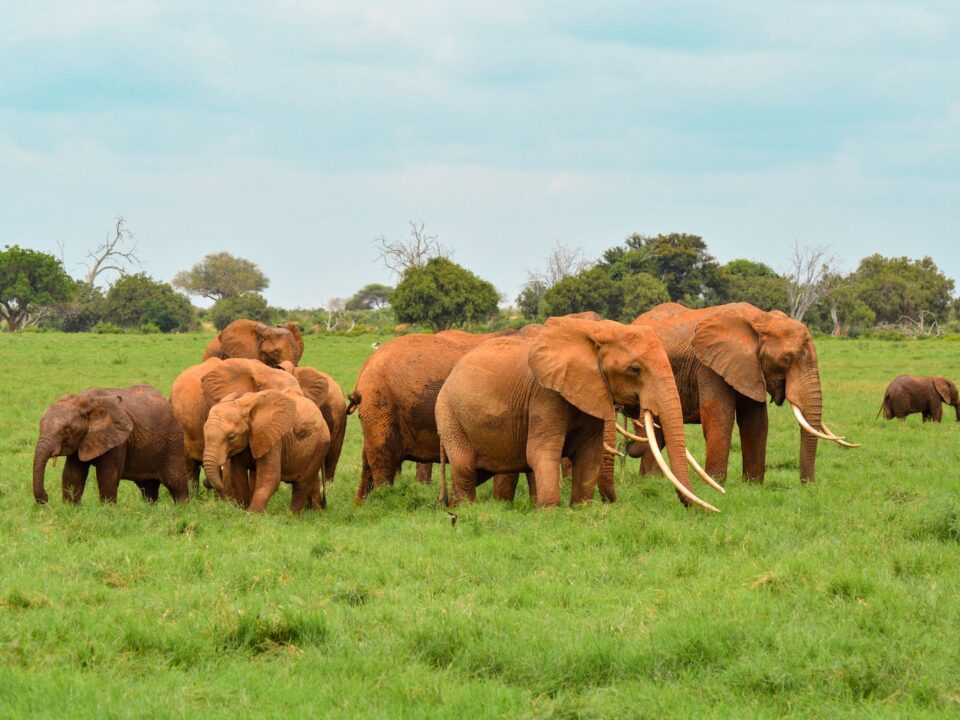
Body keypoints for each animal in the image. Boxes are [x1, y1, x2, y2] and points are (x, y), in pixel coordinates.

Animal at [33, 385, 191, 504]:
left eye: (66, 430)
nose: (46, 498)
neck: (83, 401)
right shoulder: (82, 440)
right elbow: (72, 475)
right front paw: (70, 509)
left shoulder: (118, 441)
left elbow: (108, 476)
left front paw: (108, 512)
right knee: (148, 487)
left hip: (173, 441)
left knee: (176, 482)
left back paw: (182, 510)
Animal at [347, 328, 530, 503]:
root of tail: (367, 364)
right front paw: (504, 506)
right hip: (380, 403)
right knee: (383, 460)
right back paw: (384, 499)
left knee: (367, 462)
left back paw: (360, 505)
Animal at [436, 316, 719, 511]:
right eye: (635, 369)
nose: (704, 512)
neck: (594, 334)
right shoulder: (545, 394)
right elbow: (542, 451)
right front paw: (549, 513)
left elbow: (589, 453)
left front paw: (581, 509)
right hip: (448, 414)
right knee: (465, 467)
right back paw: (466, 510)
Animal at [631, 302, 856, 484]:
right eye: (786, 360)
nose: (808, 485)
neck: (762, 320)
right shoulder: (709, 365)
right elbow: (720, 415)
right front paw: (715, 483)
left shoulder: (750, 369)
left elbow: (756, 421)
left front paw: (753, 484)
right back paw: (651, 480)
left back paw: (651, 480)